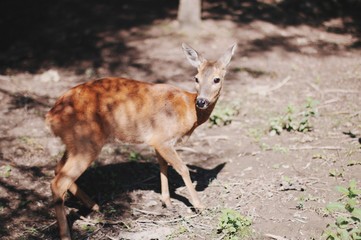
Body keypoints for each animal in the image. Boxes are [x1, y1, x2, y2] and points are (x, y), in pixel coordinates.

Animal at [45, 42, 236, 239]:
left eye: (216, 79)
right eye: (196, 78)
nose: (201, 101)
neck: (188, 110)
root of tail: (50, 116)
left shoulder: (157, 141)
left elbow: (163, 166)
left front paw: (167, 202)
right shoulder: (163, 139)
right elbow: (182, 169)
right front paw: (199, 206)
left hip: (74, 143)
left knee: (58, 170)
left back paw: (95, 205)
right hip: (86, 142)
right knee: (58, 183)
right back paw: (67, 233)